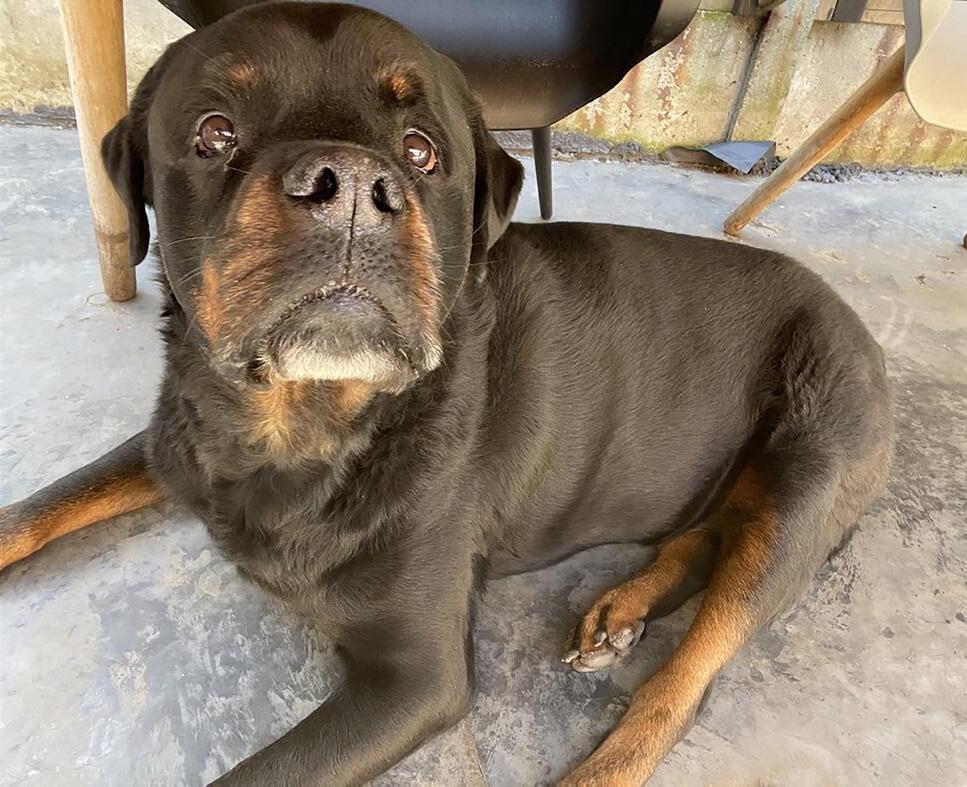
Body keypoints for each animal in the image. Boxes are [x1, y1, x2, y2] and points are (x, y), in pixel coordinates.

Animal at [0, 3, 894, 784]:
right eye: (213, 133)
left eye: (422, 150)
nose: (351, 185)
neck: (303, 424)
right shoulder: (177, 435)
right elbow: (50, 501)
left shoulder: (414, 680)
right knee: (704, 536)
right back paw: (624, 607)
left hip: (806, 477)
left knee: (689, 675)